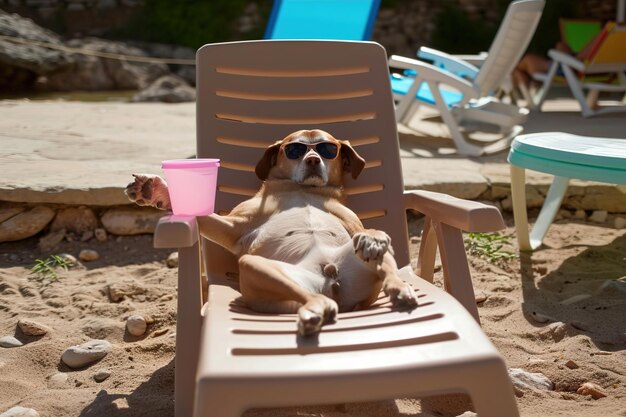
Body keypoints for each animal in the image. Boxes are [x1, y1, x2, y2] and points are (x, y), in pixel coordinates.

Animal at [125, 130, 416, 334]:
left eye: (328, 149)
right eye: (294, 149)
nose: (313, 159)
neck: (302, 190)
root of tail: (332, 280)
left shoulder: (355, 225)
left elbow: (369, 230)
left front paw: (373, 237)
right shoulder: (233, 227)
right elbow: (199, 213)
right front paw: (156, 190)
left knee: (383, 262)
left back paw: (398, 287)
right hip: (258, 268)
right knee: (313, 298)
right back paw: (316, 310)